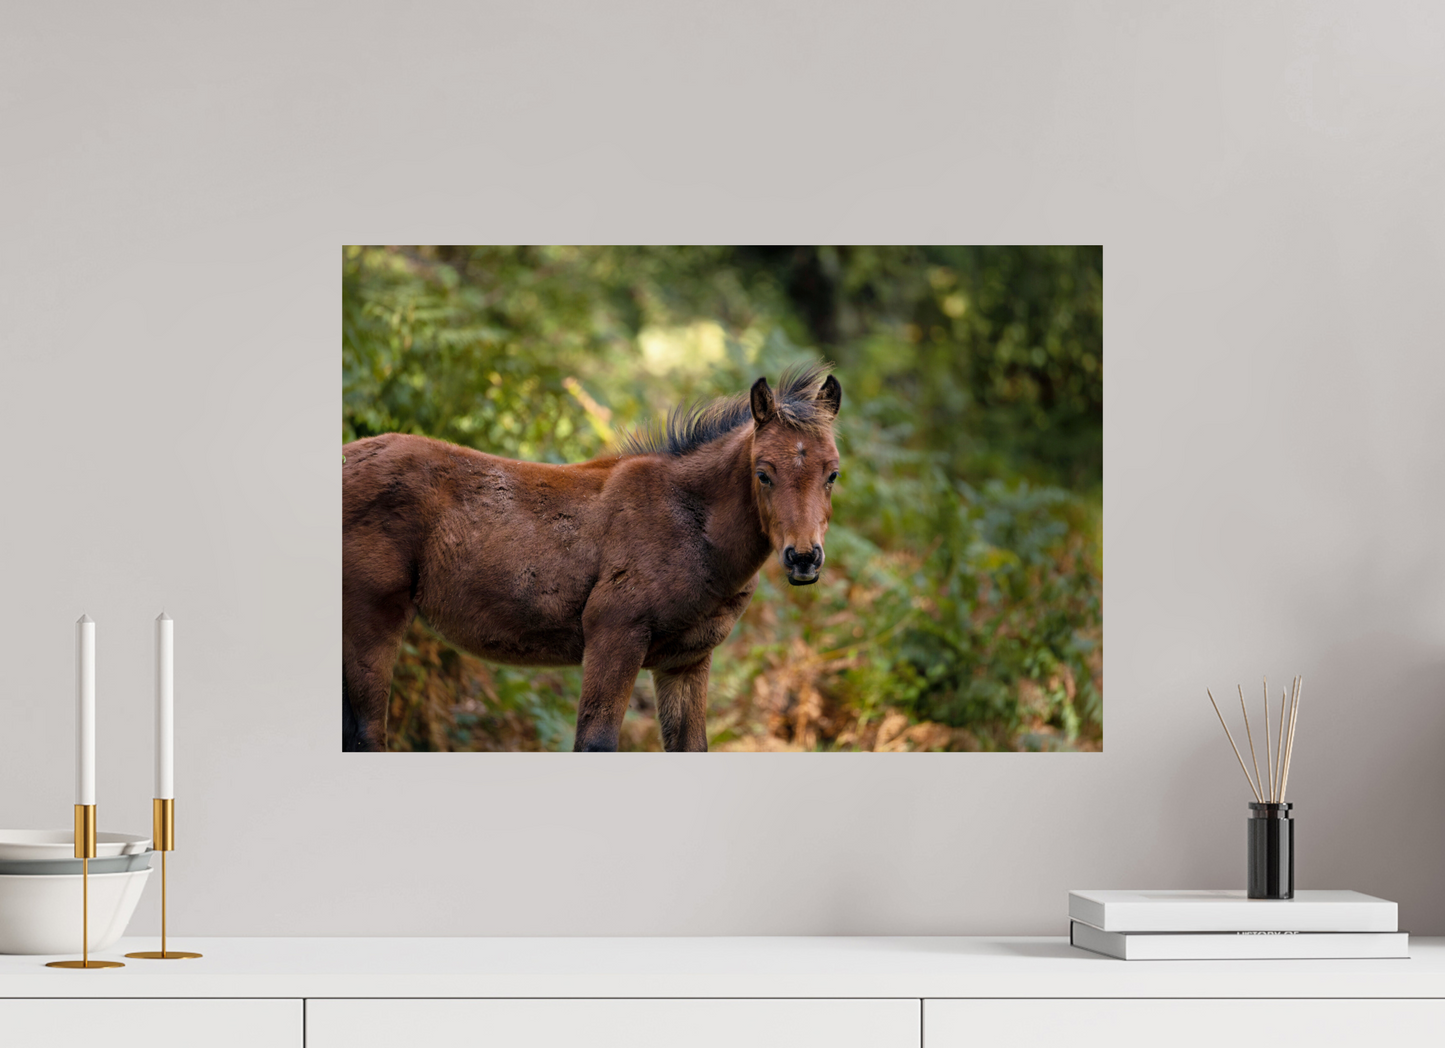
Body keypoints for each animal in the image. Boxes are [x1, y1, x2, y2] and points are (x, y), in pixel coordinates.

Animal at [341, 363, 842, 752]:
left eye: (833, 473)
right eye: (763, 473)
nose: (803, 558)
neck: (692, 526)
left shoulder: (687, 660)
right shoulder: (614, 634)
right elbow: (596, 742)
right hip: (372, 616)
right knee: (368, 733)